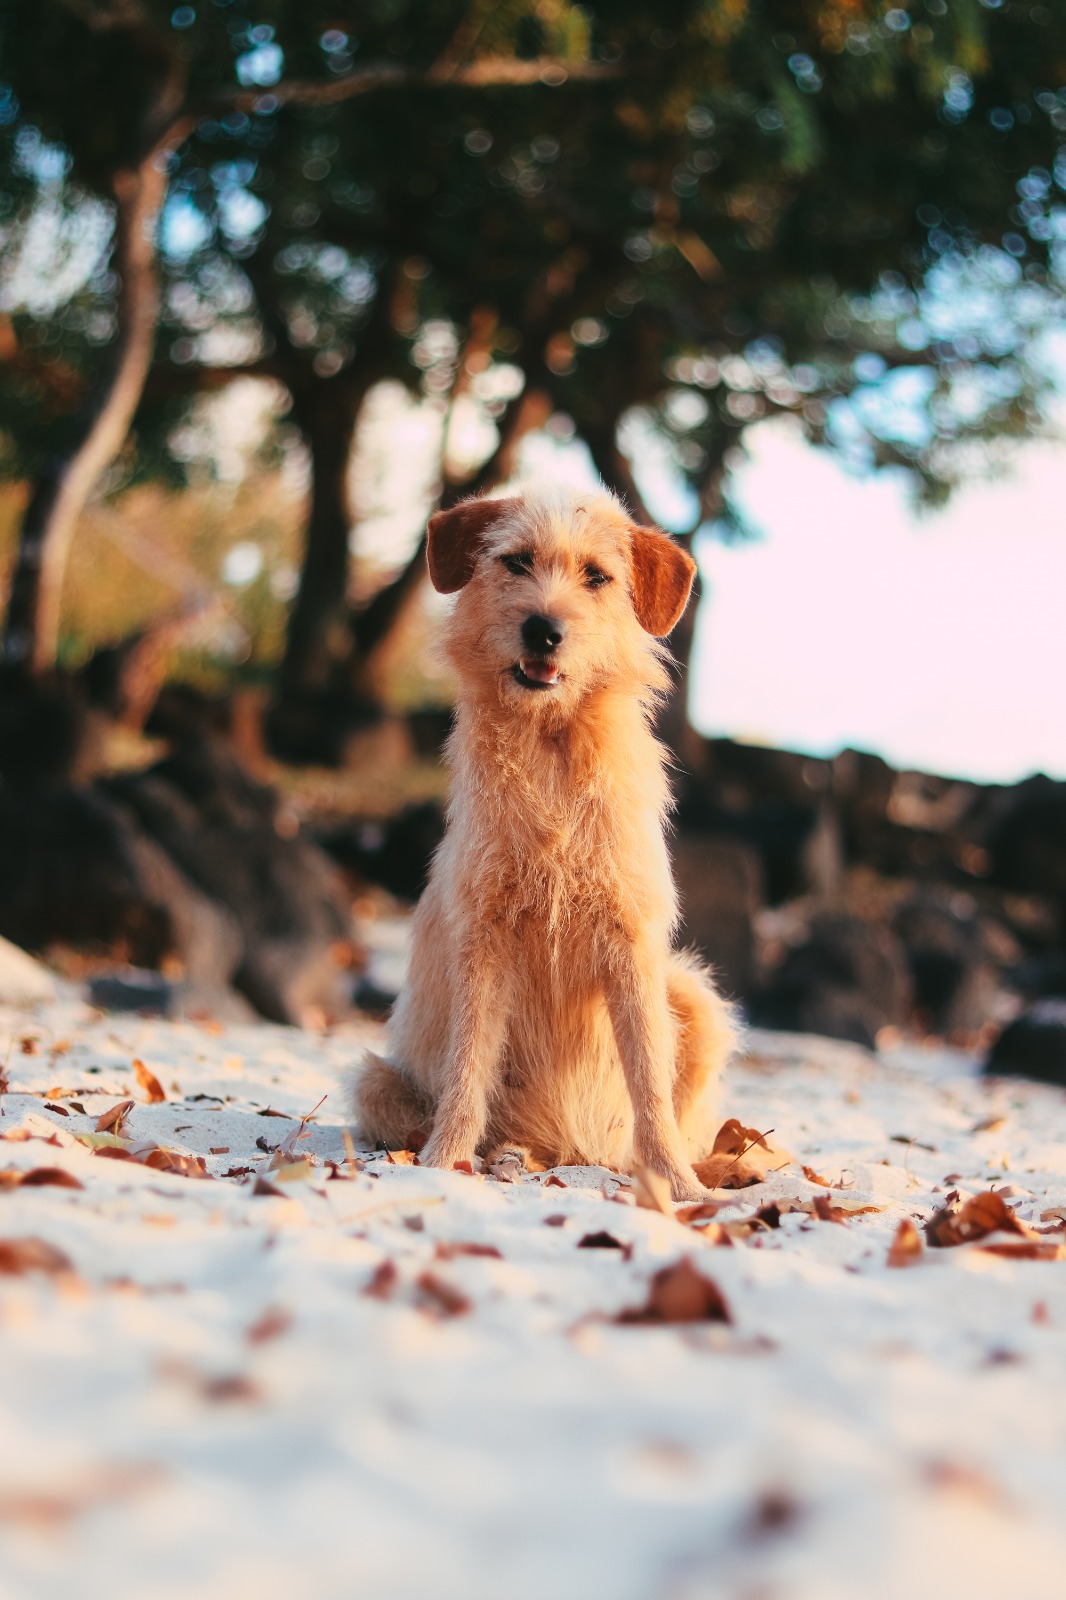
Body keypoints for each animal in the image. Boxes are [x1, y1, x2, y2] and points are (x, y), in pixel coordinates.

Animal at [352, 480, 736, 1196]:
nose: (544, 629)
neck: (553, 746)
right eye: (516, 562)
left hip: (694, 997)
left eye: (597, 577)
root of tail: (568, 1149)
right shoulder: (484, 941)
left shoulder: (632, 946)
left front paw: (678, 1186)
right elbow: (467, 1071)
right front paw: (442, 1163)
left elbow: (650, 1085)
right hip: (374, 1081)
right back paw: (506, 1155)